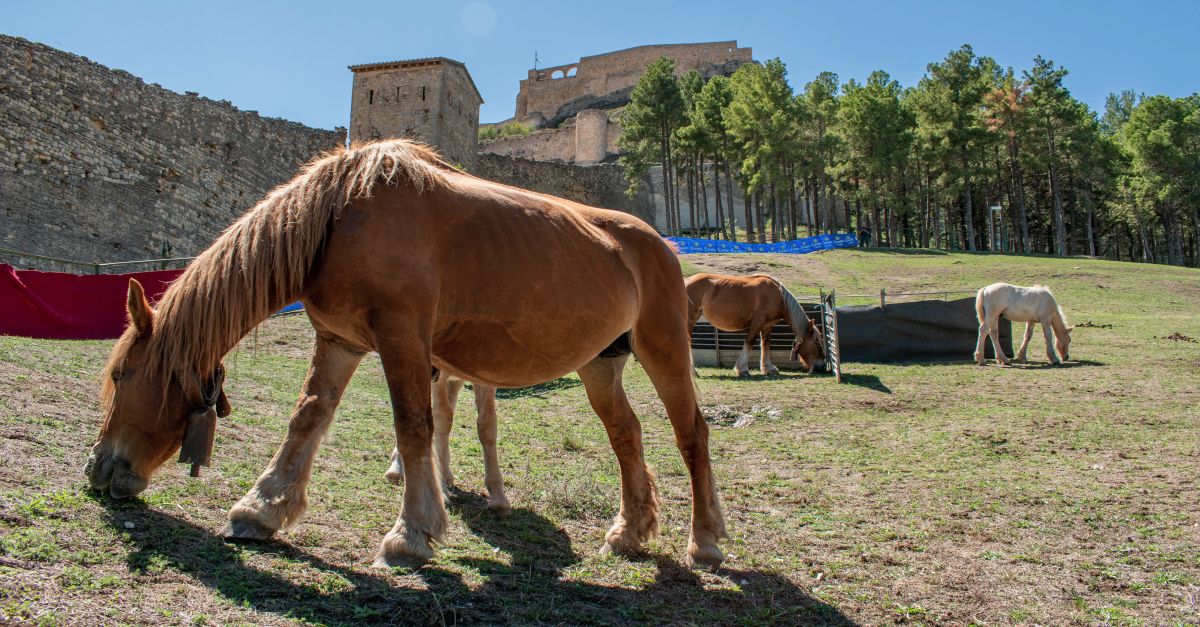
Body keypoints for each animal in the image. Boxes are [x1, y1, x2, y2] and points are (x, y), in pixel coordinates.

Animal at [384, 369, 506, 511]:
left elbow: (488, 423)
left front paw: (498, 498)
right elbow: (443, 417)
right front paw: (441, 492)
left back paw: (446, 473)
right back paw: (396, 470)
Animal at [686, 270, 825, 372]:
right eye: (816, 342)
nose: (821, 365)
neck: (778, 295)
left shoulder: (768, 325)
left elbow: (765, 344)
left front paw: (768, 368)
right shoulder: (757, 322)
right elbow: (750, 342)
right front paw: (742, 369)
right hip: (689, 320)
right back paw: (693, 371)